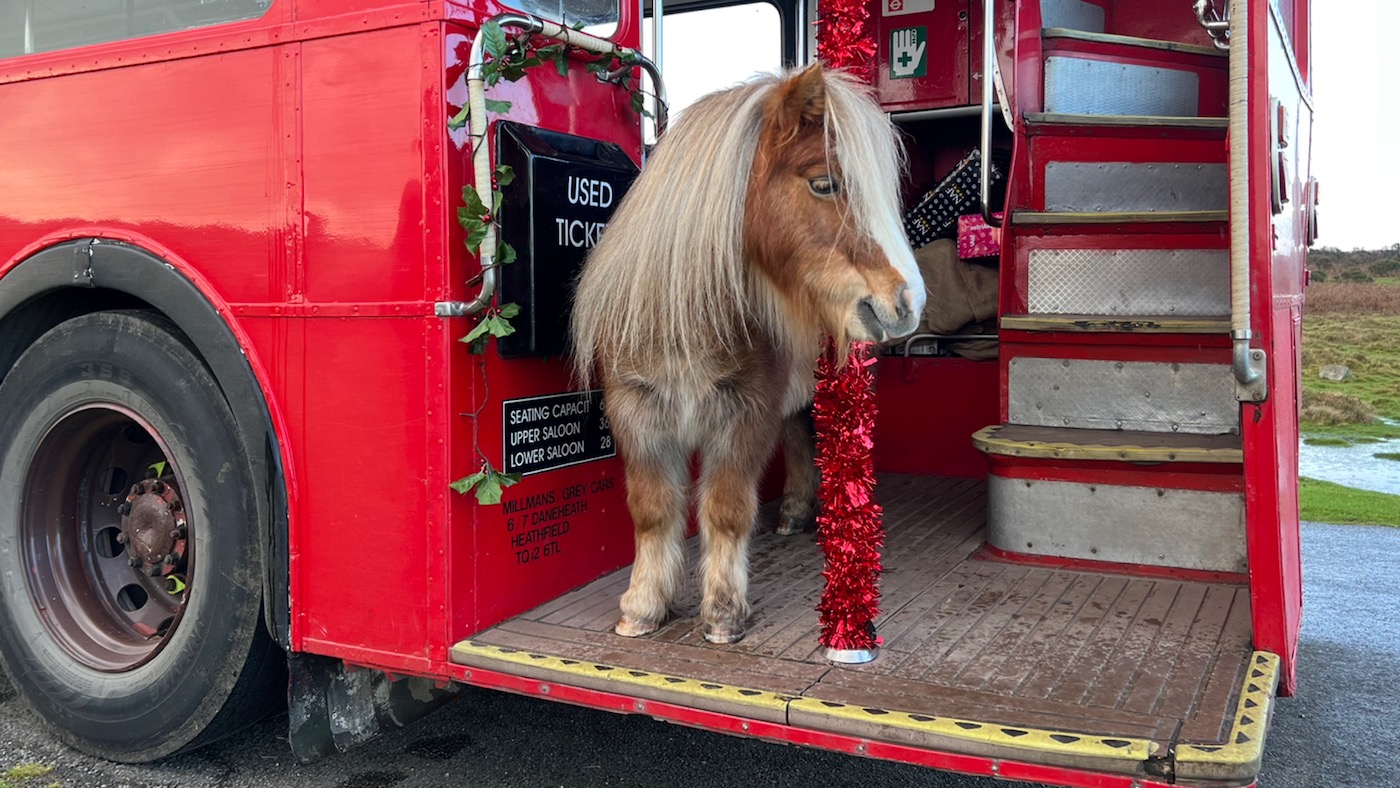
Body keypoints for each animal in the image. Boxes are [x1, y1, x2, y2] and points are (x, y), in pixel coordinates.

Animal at [570, 63, 925, 644]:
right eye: (824, 183)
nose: (907, 304)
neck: (684, 318)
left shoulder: (743, 415)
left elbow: (725, 510)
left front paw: (722, 613)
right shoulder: (637, 413)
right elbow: (653, 510)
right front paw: (642, 606)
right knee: (798, 439)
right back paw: (794, 513)